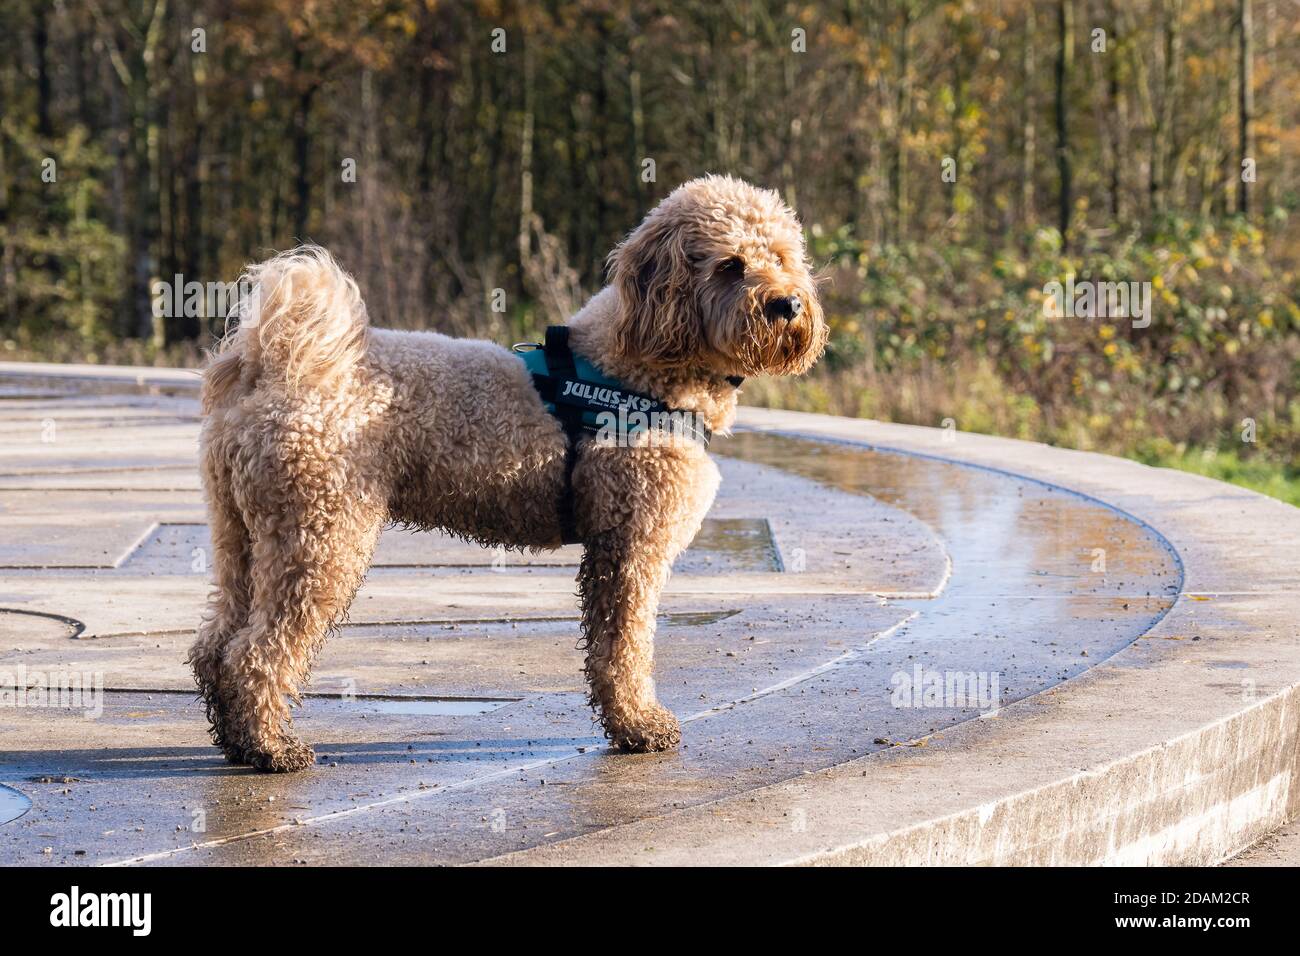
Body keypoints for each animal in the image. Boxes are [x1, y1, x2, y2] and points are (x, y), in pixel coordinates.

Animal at [187, 175, 821, 775]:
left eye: (783, 256)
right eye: (730, 265)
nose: (787, 305)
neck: (639, 365)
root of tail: (270, 368)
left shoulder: (613, 545)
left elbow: (610, 648)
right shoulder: (630, 545)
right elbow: (624, 649)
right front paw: (639, 726)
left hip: (243, 535)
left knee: (217, 643)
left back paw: (240, 742)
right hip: (320, 537)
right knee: (256, 652)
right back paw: (272, 747)